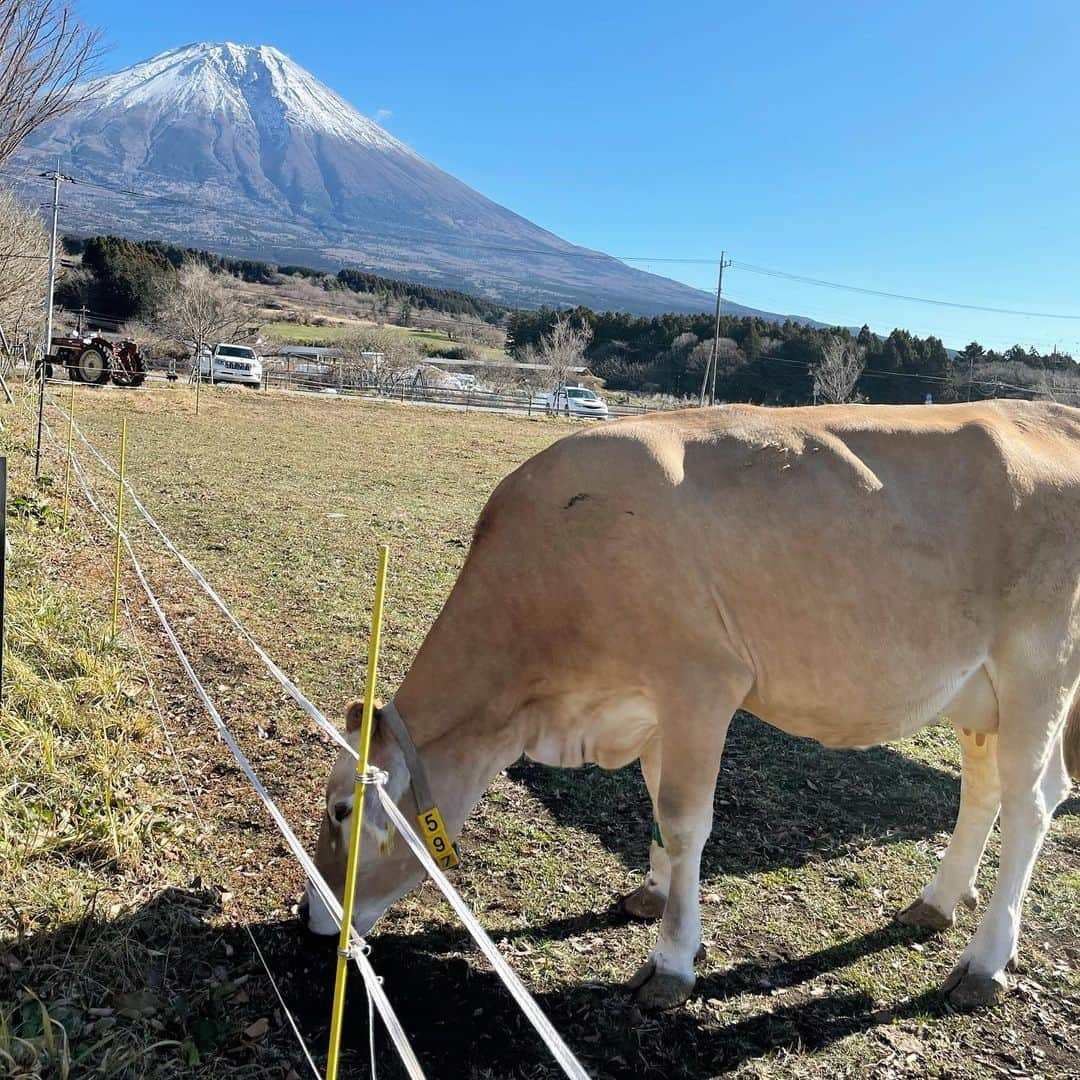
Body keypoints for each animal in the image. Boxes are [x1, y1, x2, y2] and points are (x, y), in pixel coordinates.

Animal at [302, 399, 1080, 1010]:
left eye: (342, 811)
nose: (313, 918)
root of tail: (1047, 412)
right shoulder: (648, 705)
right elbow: (654, 803)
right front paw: (651, 894)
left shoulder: (702, 686)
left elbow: (683, 821)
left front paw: (673, 960)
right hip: (977, 692)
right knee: (983, 791)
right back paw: (936, 903)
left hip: (1038, 674)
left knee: (1032, 803)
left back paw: (985, 965)